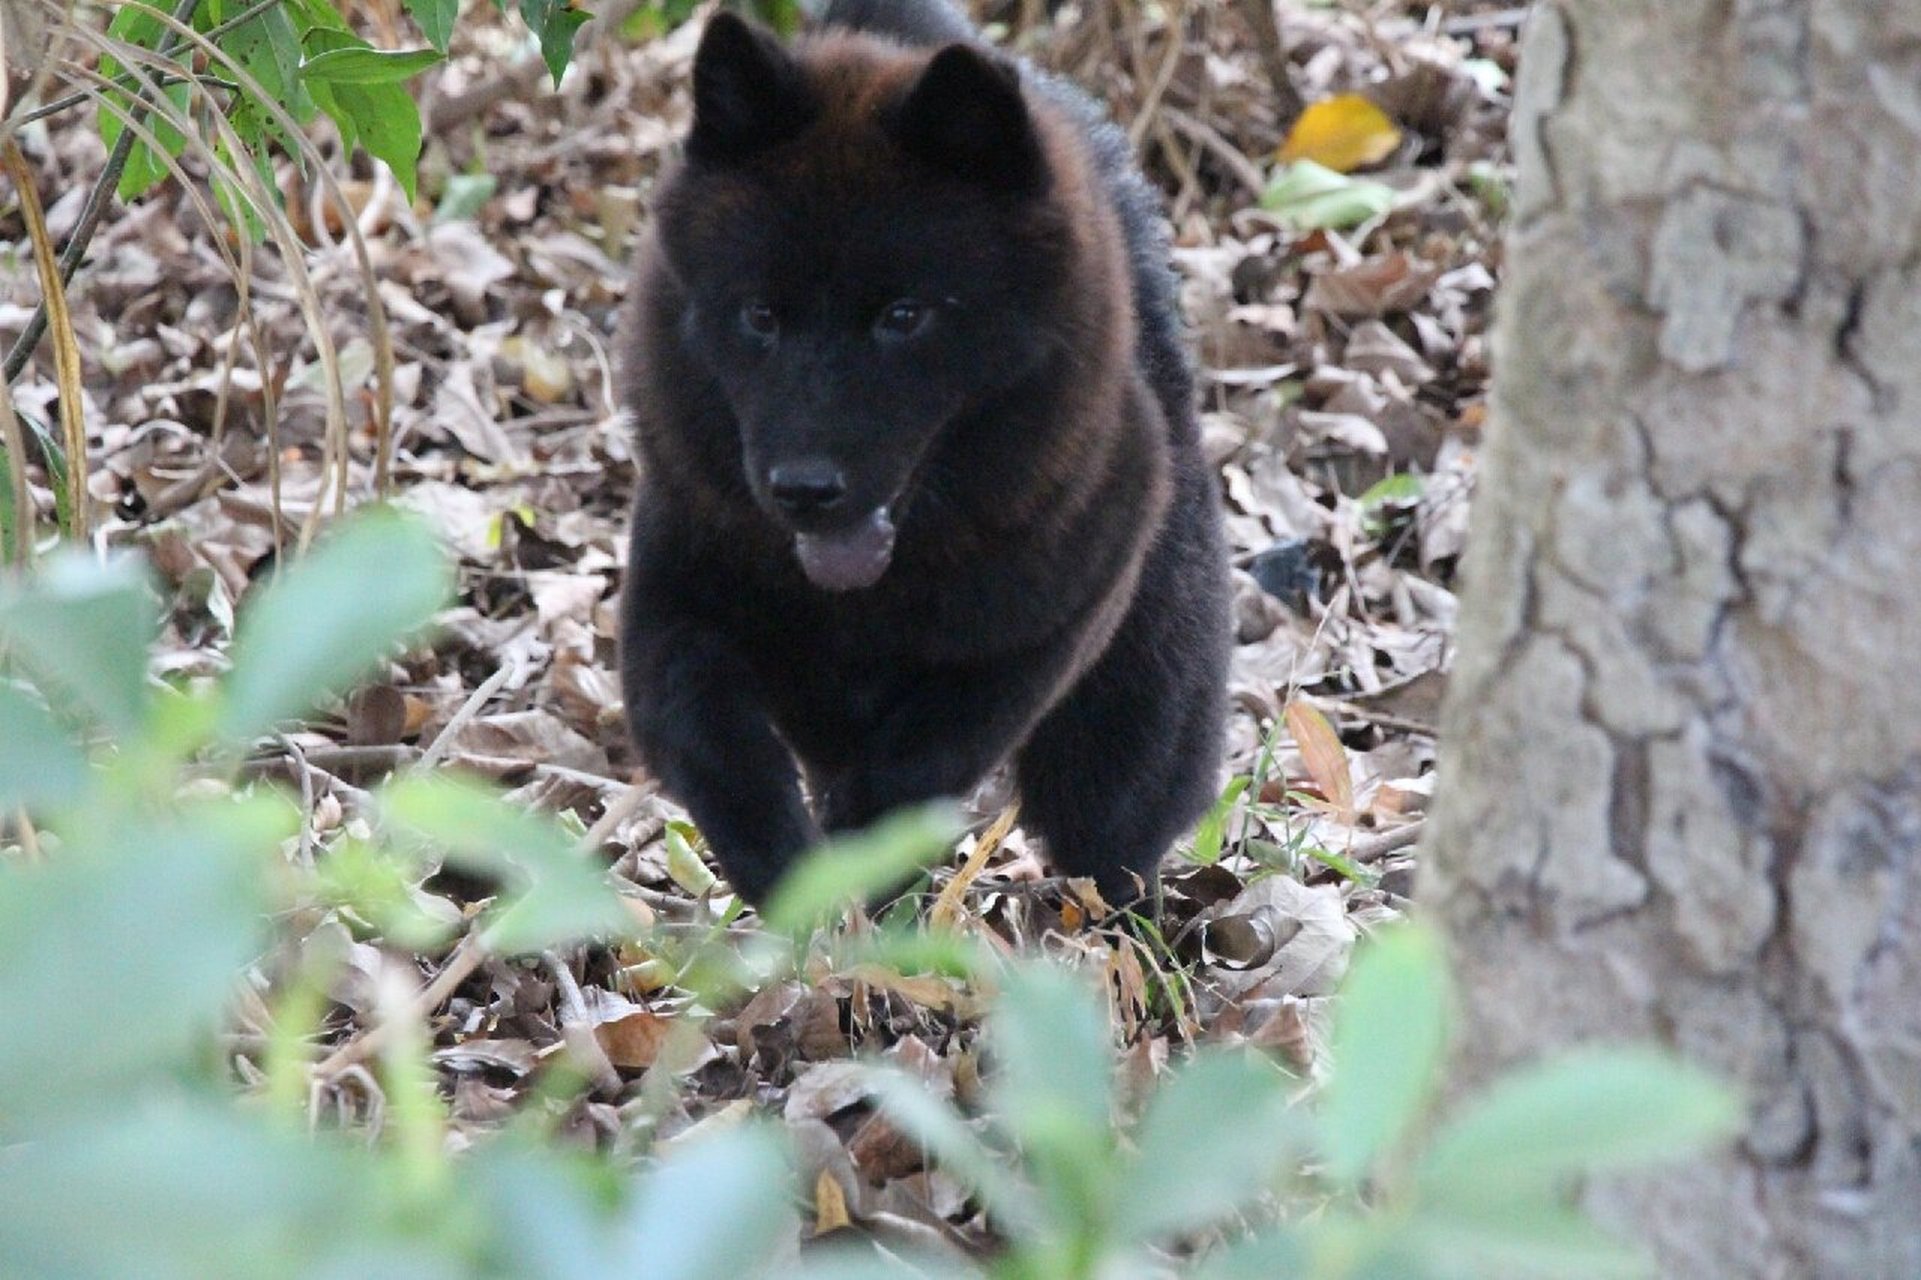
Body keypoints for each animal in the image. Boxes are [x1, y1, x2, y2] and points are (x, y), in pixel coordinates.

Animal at [614, 0, 1229, 907]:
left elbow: (917, 763)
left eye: (903, 317)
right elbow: (717, 749)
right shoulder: (676, 609)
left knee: (1109, 829)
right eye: (758, 316)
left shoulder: (1033, 636)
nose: (803, 489)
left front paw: (856, 863)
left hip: (1129, 726)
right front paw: (789, 874)